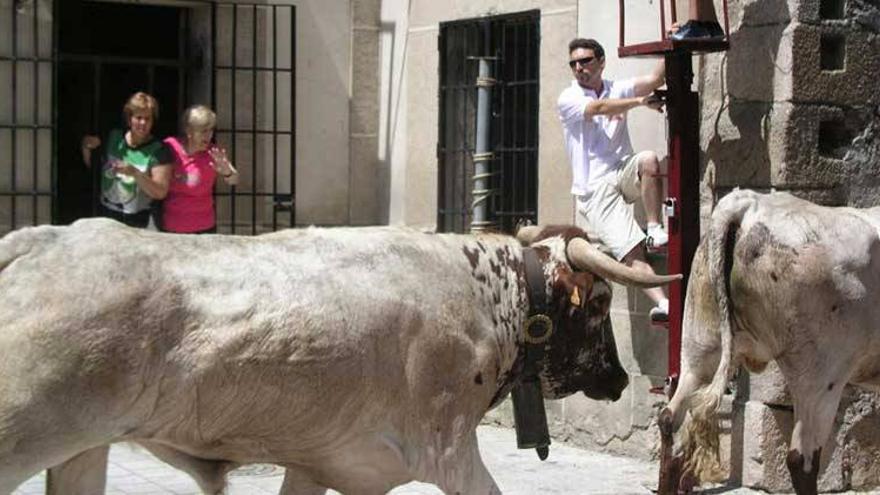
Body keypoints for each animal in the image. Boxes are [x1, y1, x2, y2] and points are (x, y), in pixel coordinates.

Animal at [0, 222, 676, 495]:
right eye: (601, 302)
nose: (620, 378)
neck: (488, 297)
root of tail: (39, 239)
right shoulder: (450, 450)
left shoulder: (325, 462)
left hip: (83, 449)